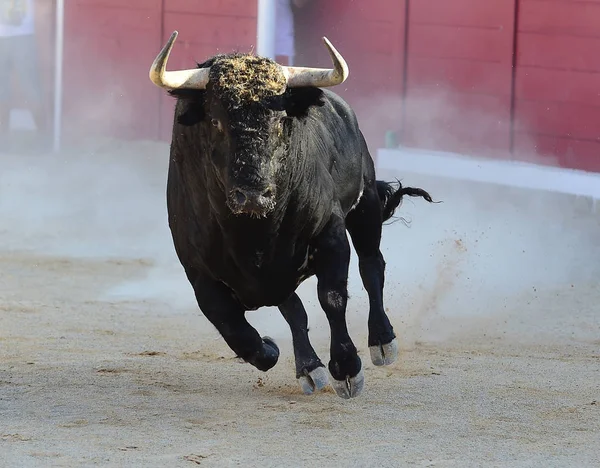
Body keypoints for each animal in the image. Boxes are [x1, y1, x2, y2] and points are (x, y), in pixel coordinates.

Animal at [148, 32, 434, 398]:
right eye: (215, 121)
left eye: (282, 120)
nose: (253, 195)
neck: (252, 234)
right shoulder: (198, 272)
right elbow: (235, 328)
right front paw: (273, 349)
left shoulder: (330, 233)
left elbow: (332, 297)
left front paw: (346, 368)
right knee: (294, 309)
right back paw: (309, 368)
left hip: (365, 203)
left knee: (372, 266)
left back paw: (382, 342)